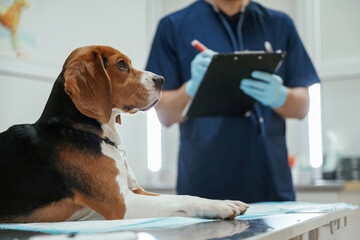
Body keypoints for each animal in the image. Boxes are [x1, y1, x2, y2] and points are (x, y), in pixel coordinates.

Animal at [0, 45, 248, 223]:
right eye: (121, 65)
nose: (162, 80)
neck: (84, 131)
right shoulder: (122, 203)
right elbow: (185, 198)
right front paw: (219, 206)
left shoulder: (135, 191)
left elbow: (177, 197)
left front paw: (224, 200)